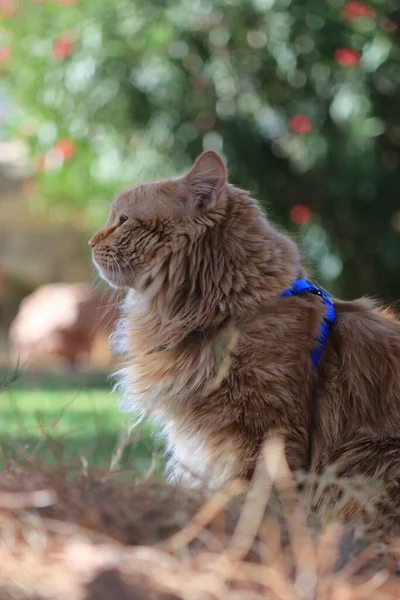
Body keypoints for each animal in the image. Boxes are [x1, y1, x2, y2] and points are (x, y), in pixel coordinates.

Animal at [90, 151, 400, 510]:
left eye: (123, 220)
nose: (90, 242)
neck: (229, 314)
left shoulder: (267, 442)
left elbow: (253, 504)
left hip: (368, 458)